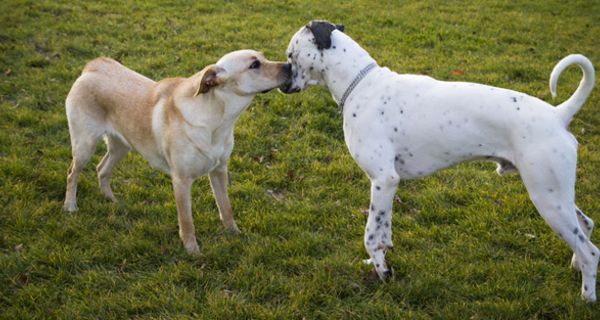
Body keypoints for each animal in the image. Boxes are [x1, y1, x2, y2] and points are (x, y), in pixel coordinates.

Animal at [282, 20, 600, 302]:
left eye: (290, 55)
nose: (282, 81)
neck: (361, 84)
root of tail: (558, 115)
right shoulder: (387, 186)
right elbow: (384, 232)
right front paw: (378, 263)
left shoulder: (384, 180)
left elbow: (371, 234)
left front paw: (384, 273)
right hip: (555, 194)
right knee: (585, 225)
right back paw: (576, 267)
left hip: (546, 198)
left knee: (591, 250)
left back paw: (586, 297)